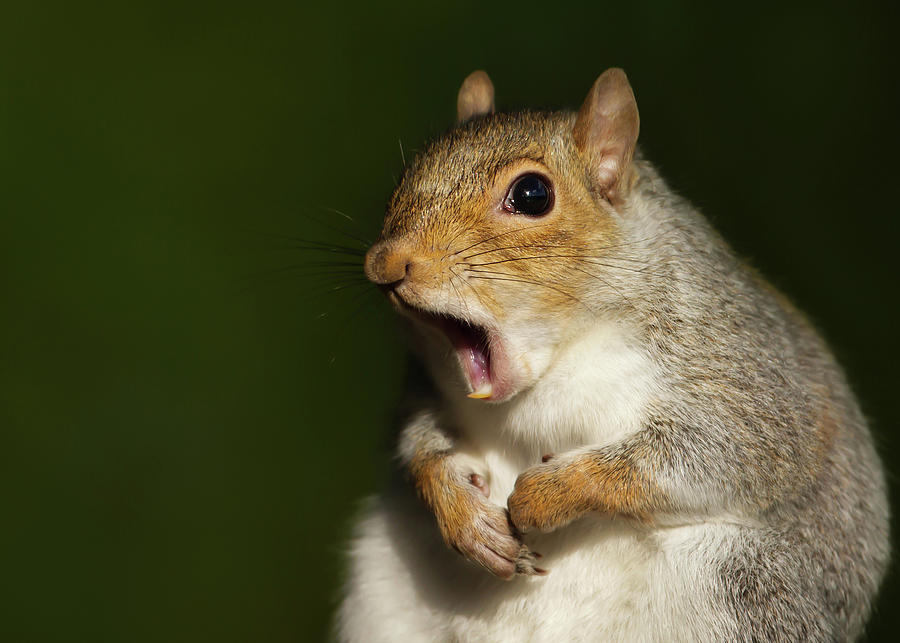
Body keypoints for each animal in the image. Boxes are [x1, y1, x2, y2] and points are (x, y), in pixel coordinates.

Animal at [334, 68, 888, 640]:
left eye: (532, 194)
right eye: (408, 174)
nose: (384, 263)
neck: (555, 363)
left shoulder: (744, 376)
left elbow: (715, 455)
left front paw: (547, 494)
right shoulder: (427, 387)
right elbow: (420, 441)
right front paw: (463, 513)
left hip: (747, 589)